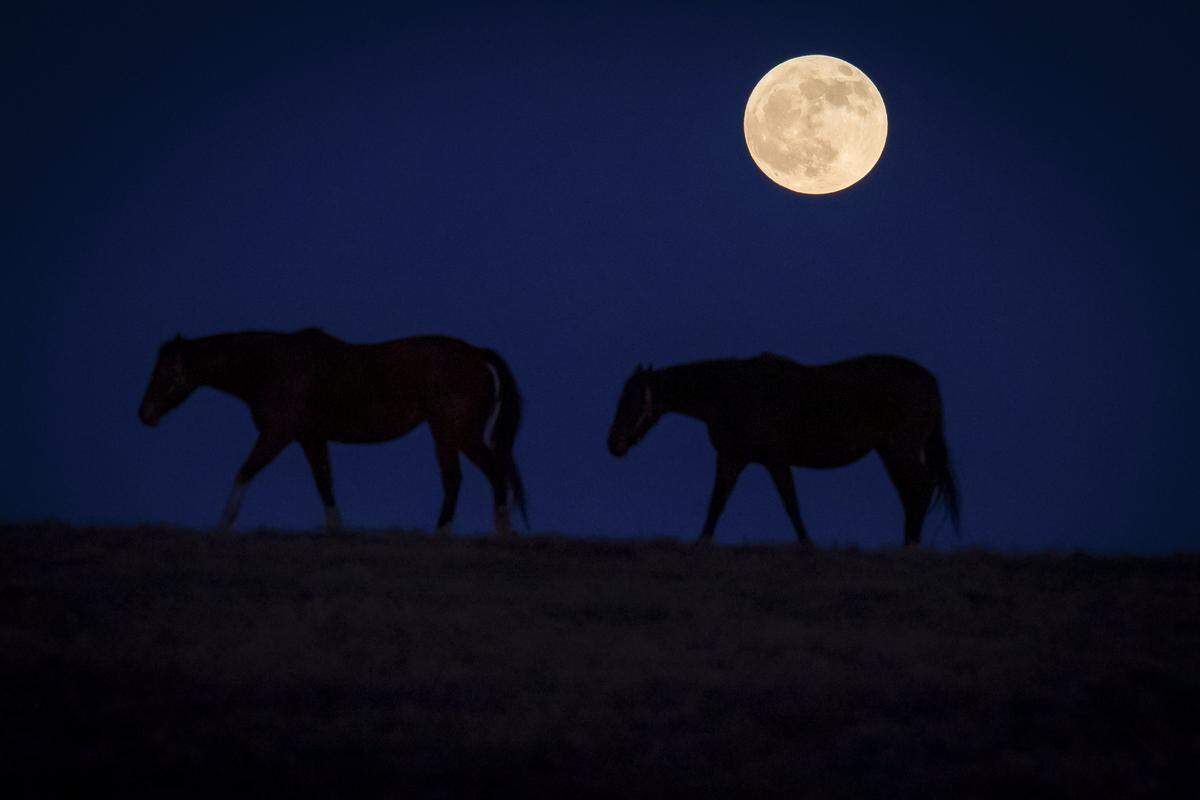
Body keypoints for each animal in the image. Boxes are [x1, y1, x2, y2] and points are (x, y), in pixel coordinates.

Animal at [138, 328, 527, 536]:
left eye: (163, 371)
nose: (144, 414)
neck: (274, 366)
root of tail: (476, 354)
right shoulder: (311, 438)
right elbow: (324, 482)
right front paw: (337, 530)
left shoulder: (277, 435)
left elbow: (244, 472)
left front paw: (221, 526)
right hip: (448, 433)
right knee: (464, 478)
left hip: (457, 432)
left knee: (486, 474)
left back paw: (495, 530)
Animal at [606, 353, 959, 546]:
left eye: (631, 400)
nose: (613, 444)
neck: (733, 392)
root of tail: (929, 380)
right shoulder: (732, 459)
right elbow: (717, 503)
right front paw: (701, 542)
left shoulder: (775, 461)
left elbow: (791, 503)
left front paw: (808, 544)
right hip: (891, 452)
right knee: (912, 493)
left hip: (902, 449)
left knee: (920, 489)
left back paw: (911, 544)